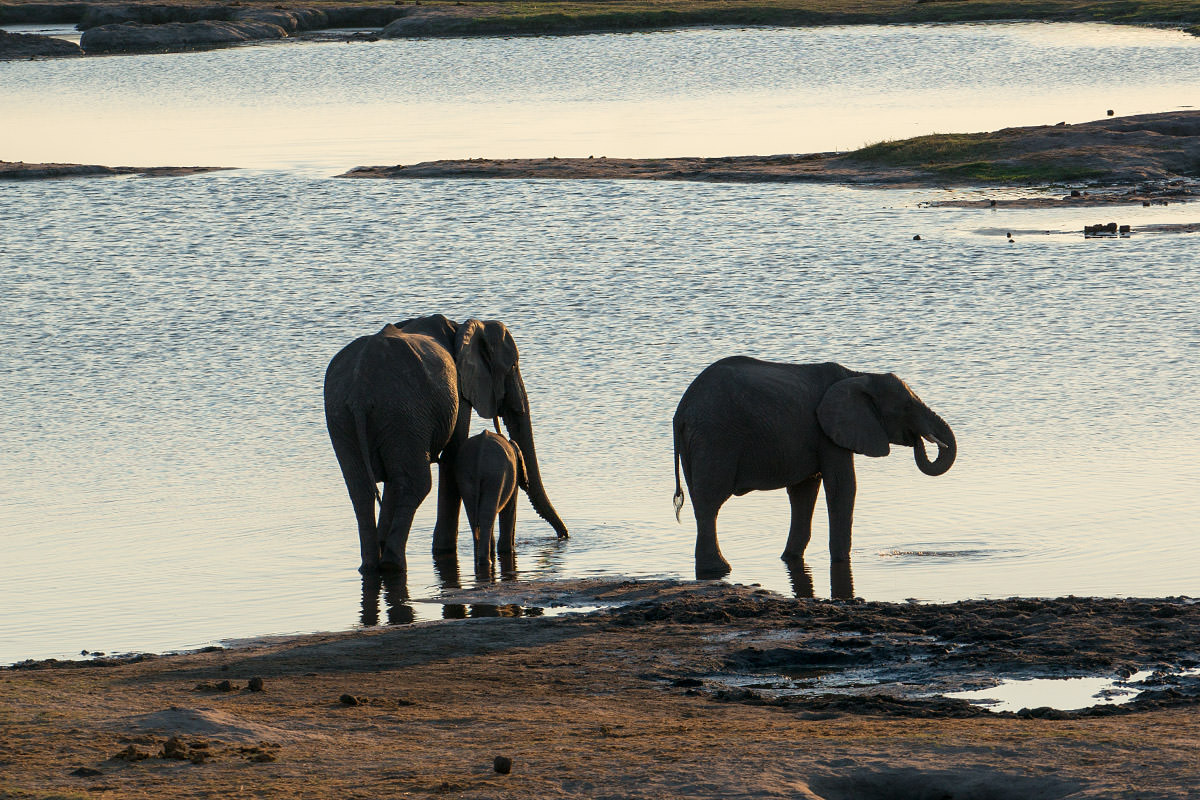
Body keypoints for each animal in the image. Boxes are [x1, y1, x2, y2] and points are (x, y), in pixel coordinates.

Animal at [453, 431, 525, 575]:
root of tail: (479, 457)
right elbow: (510, 508)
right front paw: (507, 550)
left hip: (465, 476)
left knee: (475, 515)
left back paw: (480, 559)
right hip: (494, 475)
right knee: (487, 515)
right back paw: (486, 561)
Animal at [676, 359, 955, 578]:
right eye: (906, 407)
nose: (919, 438)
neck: (858, 376)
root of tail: (681, 411)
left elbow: (804, 490)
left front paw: (790, 558)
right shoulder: (828, 433)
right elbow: (843, 486)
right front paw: (841, 560)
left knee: (701, 502)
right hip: (715, 439)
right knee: (710, 502)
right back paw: (719, 570)